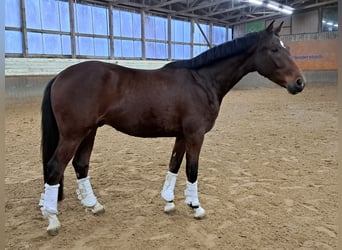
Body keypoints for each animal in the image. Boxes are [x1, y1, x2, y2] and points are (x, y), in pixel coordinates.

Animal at [39, 21, 304, 234]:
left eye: (288, 48)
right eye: (274, 49)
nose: (299, 83)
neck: (202, 81)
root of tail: (60, 76)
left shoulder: (182, 135)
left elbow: (174, 165)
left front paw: (168, 202)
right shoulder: (195, 135)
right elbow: (192, 170)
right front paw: (196, 207)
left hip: (89, 131)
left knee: (80, 165)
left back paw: (93, 206)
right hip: (73, 134)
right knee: (55, 167)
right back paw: (52, 220)